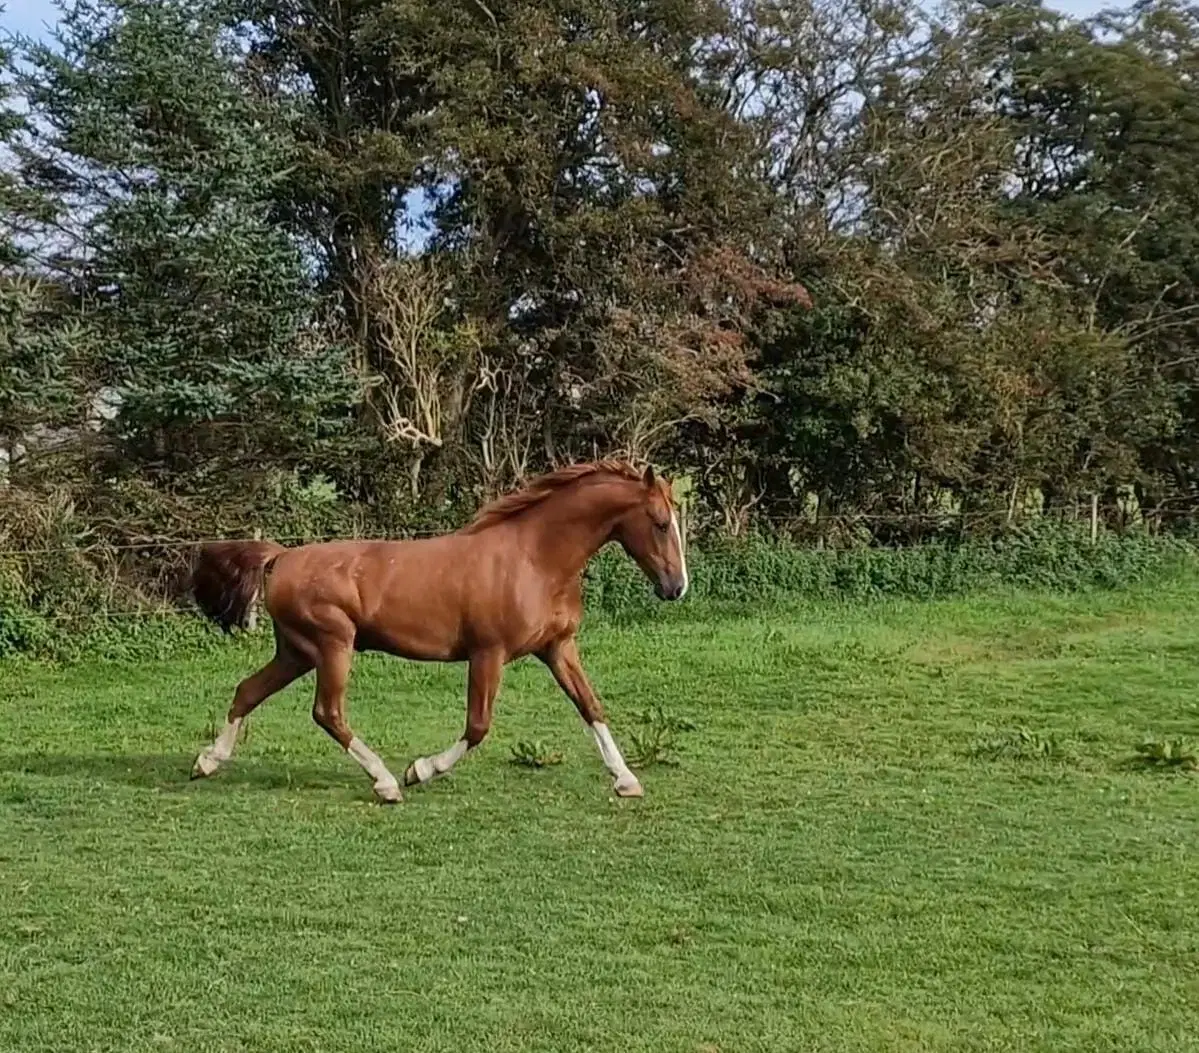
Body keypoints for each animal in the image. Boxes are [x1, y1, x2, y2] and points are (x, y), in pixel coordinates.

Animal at [190, 460, 690, 801]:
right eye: (661, 523)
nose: (677, 587)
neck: (534, 559)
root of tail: (282, 557)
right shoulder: (488, 653)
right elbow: (478, 726)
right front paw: (420, 769)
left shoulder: (557, 647)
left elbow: (591, 706)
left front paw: (626, 780)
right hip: (333, 646)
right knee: (327, 712)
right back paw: (387, 783)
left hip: (297, 652)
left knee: (247, 691)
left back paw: (207, 762)